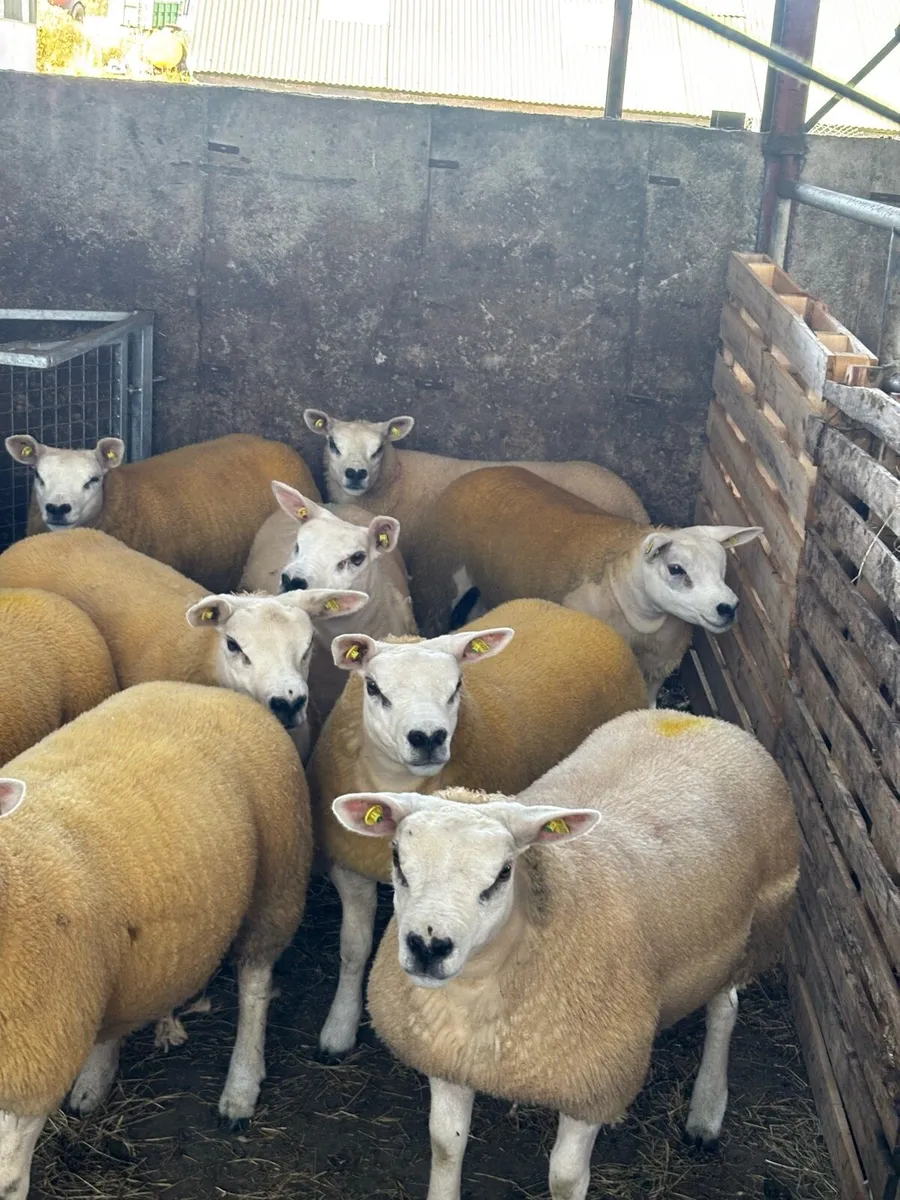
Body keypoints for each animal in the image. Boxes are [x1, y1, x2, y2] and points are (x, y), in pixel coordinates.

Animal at [0, 679, 311, 1200]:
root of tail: (204, 690)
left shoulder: (33, 1063)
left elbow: (8, 1178)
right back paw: (94, 1081)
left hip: (277, 880)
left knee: (254, 984)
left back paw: (241, 1087)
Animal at [307, 597, 646, 1056]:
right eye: (373, 688)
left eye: (456, 686)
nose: (427, 737)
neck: (399, 784)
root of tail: (566, 610)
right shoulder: (348, 865)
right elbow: (353, 949)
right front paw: (339, 1026)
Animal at [332, 707, 799, 1200]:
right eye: (398, 859)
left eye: (503, 872)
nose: (428, 946)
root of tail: (700, 719)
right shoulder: (447, 1058)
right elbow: (445, 1145)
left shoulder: (593, 1084)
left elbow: (565, 1179)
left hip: (753, 933)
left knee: (725, 1008)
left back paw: (706, 1112)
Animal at [407, 465, 762, 705]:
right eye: (676, 569)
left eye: (723, 568)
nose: (728, 608)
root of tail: (481, 472)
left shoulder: (657, 668)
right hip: (438, 577)